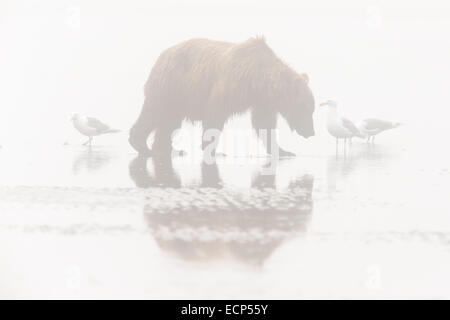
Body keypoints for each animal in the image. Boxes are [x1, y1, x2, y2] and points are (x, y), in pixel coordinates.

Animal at [128, 37, 314, 157]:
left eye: (311, 109)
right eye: (306, 109)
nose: (312, 132)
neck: (257, 79)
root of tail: (162, 55)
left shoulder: (262, 101)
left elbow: (264, 124)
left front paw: (283, 151)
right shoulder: (229, 87)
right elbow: (214, 115)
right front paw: (212, 149)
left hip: (177, 95)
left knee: (168, 122)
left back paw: (170, 149)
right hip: (170, 86)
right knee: (154, 114)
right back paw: (141, 144)